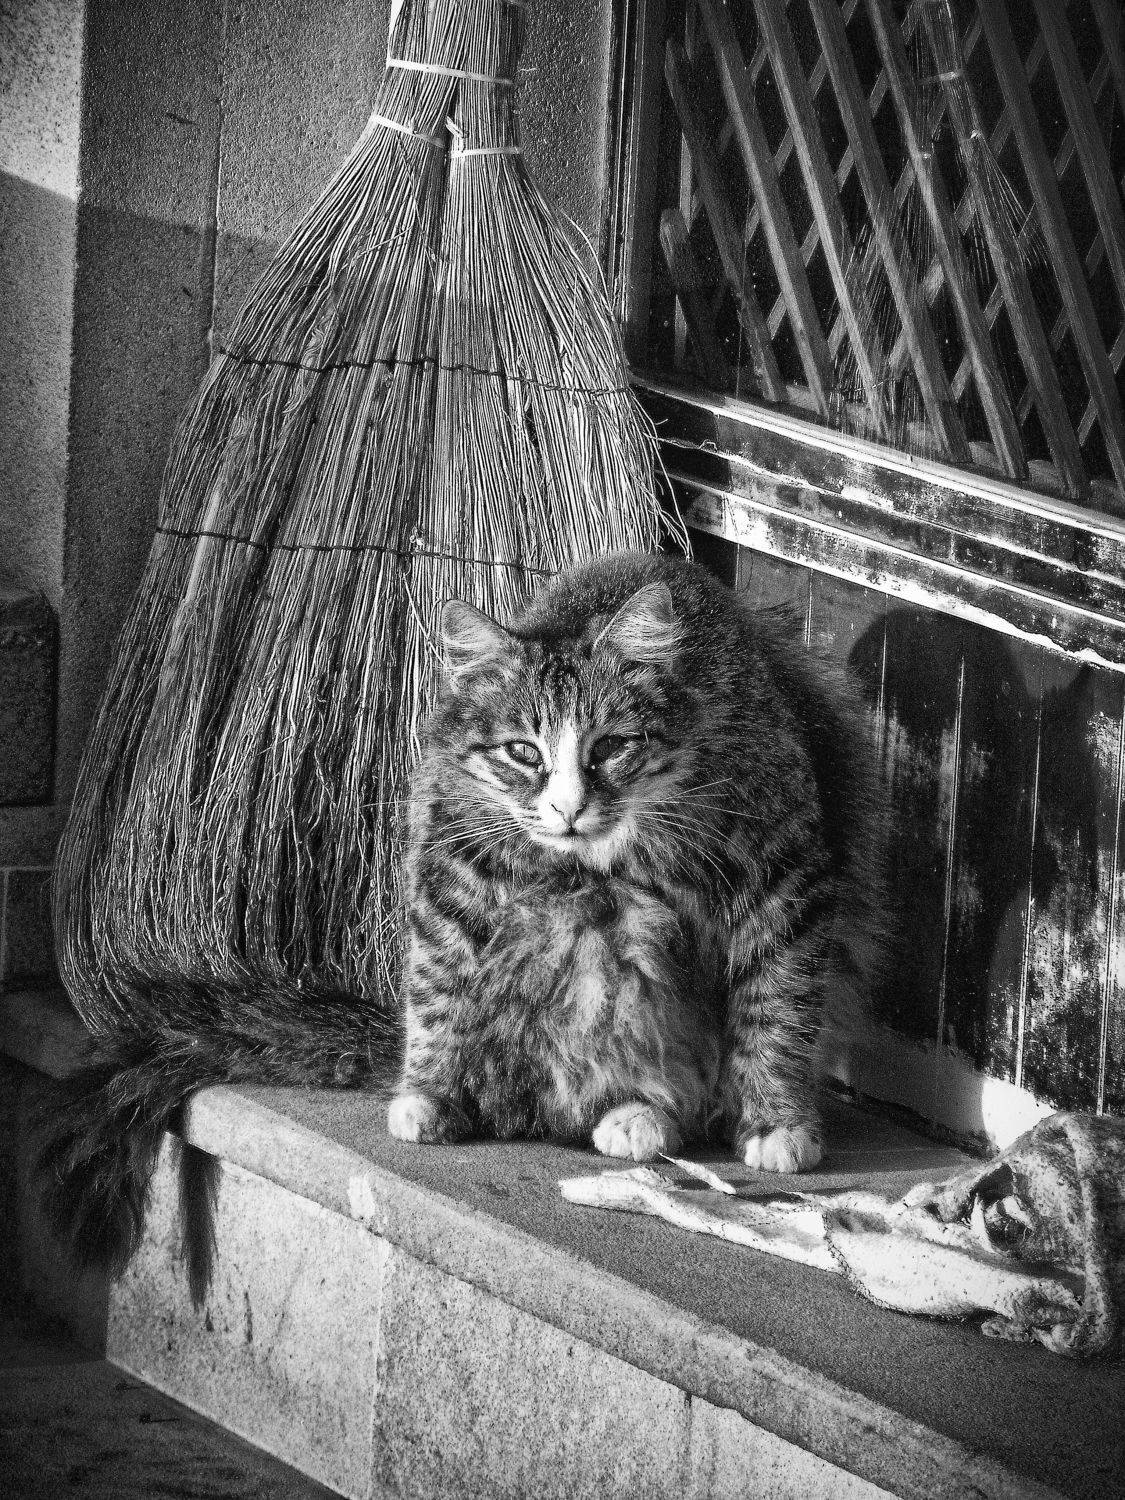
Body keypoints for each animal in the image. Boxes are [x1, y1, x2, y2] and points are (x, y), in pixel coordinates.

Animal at [388, 551, 883, 1171]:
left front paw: (777, 1121)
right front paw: (430, 1093)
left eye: (609, 747)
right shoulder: (454, 863)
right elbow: (437, 991)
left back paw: (640, 1116)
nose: (568, 807)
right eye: (523, 752)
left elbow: (776, 1010)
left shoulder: (784, 880)